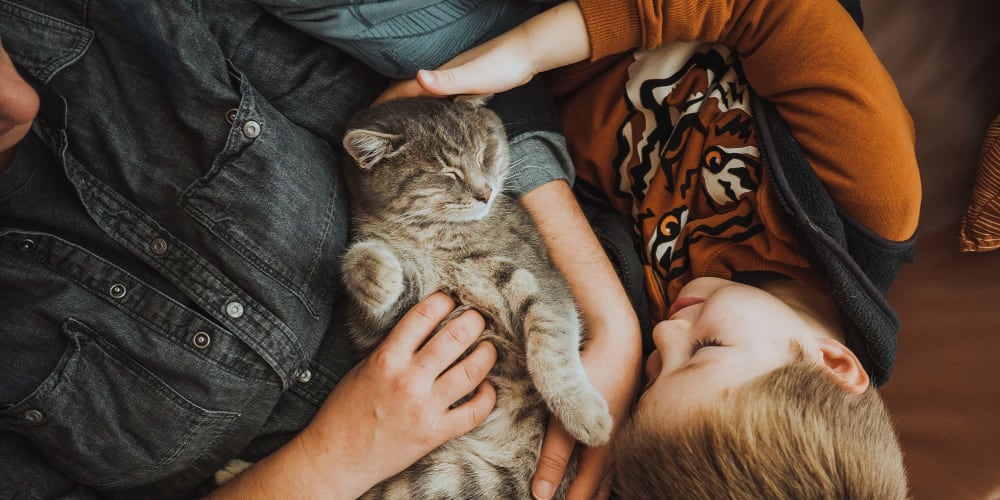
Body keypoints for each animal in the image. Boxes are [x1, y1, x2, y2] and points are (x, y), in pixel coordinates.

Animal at [340, 95, 612, 498]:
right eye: (448, 172)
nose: (485, 192)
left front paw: (583, 414)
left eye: (484, 154)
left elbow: (551, 352)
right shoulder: (387, 323)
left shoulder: (538, 281)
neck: (434, 237)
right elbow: (376, 278)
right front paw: (375, 268)